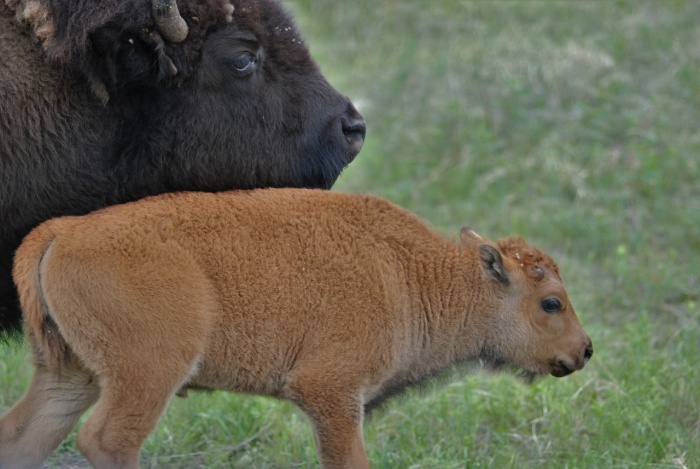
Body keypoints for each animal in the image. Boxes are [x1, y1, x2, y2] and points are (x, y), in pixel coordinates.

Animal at [0, 188, 592, 466]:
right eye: (551, 303)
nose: (585, 351)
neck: (409, 275)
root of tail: (64, 231)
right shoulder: (331, 394)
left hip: (70, 376)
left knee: (23, 436)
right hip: (147, 375)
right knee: (107, 440)